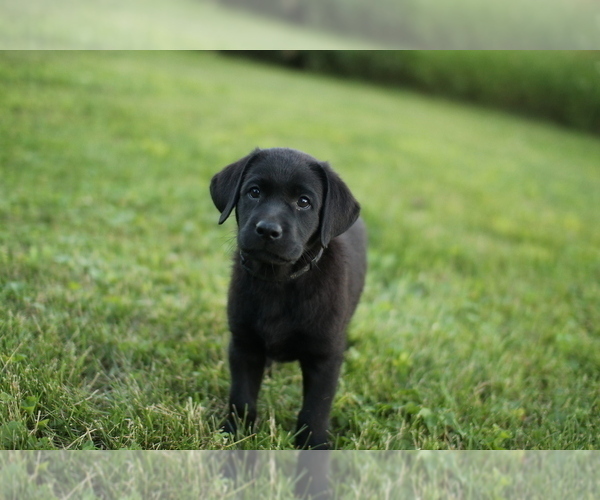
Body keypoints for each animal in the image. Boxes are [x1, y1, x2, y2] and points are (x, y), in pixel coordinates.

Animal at [211, 146, 370, 448]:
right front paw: (234, 435)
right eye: (254, 192)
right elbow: (242, 398)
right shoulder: (244, 345)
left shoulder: (325, 358)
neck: (279, 282)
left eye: (304, 202)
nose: (267, 230)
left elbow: (315, 410)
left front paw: (314, 447)